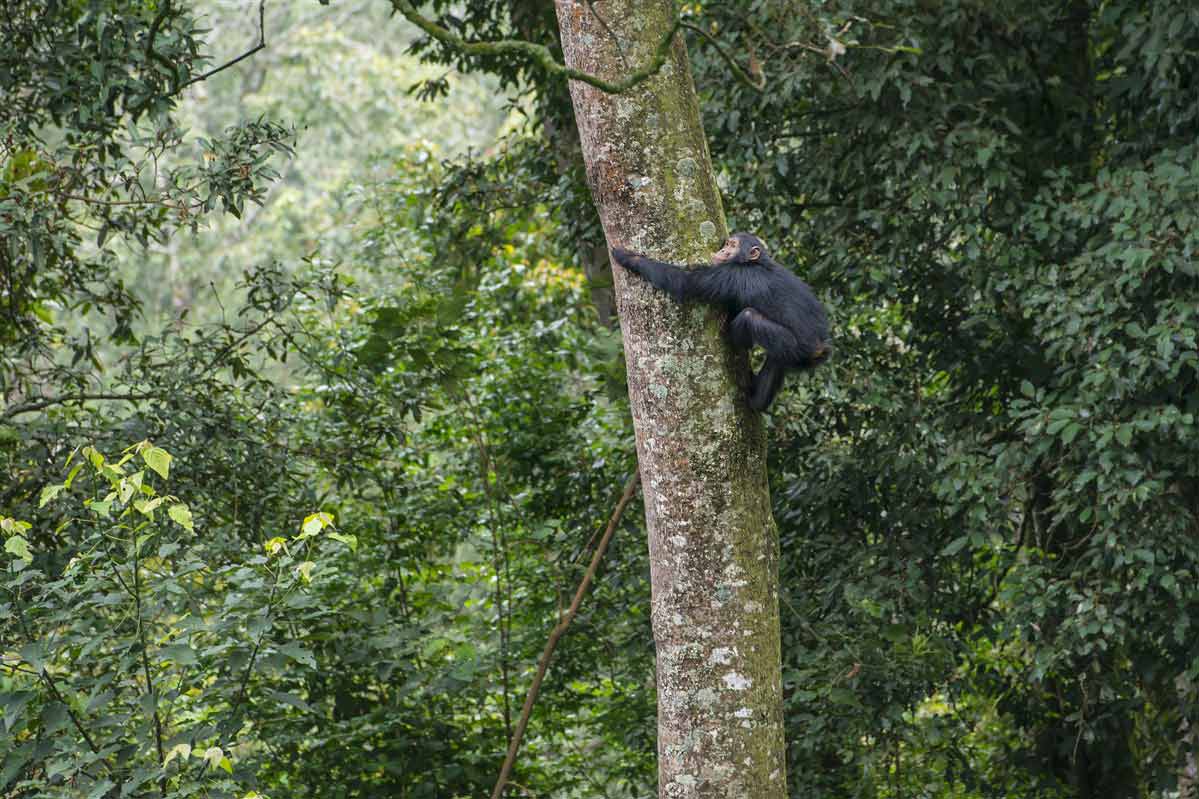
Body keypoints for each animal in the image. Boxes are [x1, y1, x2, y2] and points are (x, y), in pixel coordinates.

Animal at [613, 229, 829, 405]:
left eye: (733, 246)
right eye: (727, 244)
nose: (723, 250)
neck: (756, 262)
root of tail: (820, 349)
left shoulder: (728, 274)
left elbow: (684, 282)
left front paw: (628, 257)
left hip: (792, 346)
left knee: (749, 317)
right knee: (776, 362)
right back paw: (757, 400)